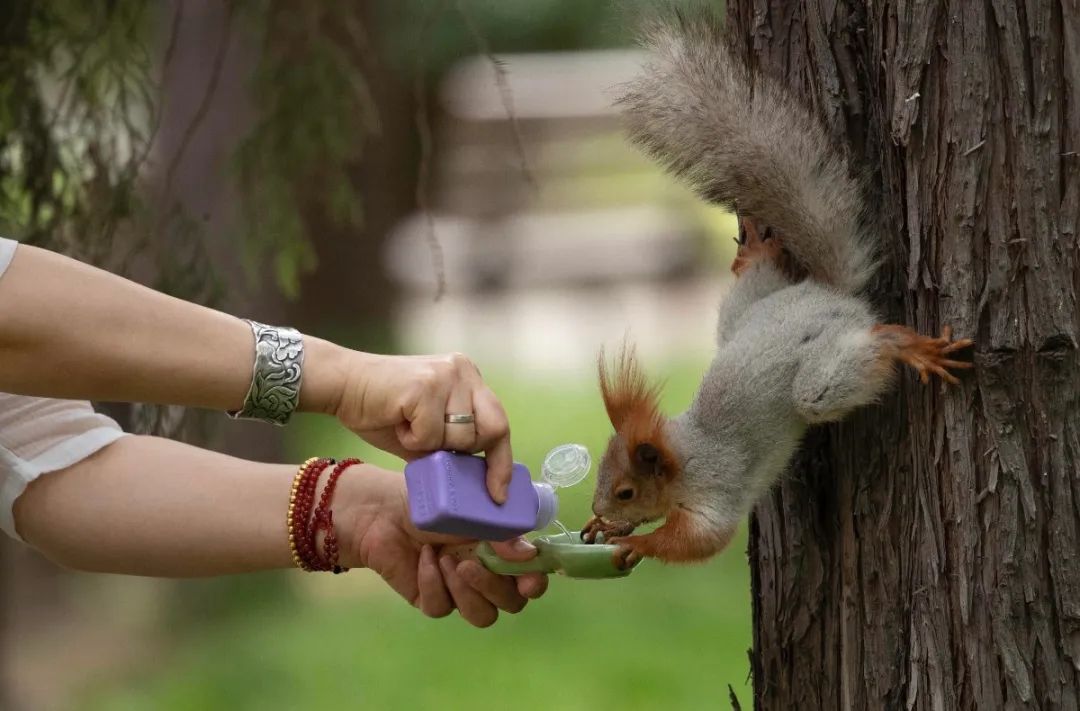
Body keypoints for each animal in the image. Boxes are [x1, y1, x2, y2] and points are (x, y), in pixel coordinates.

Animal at [587, 8, 976, 566]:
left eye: (626, 491)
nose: (601, 508)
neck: (683, 451)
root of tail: (826, 295)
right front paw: (603, 528)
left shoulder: (716, 486)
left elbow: (703, 538)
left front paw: (635, 540)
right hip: (744, 315)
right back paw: (760, 253)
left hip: (817, 383)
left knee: (854, 360)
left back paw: (905, 345)